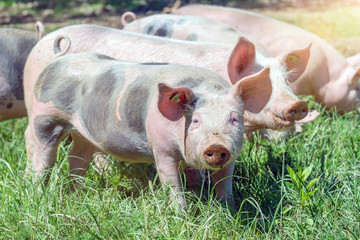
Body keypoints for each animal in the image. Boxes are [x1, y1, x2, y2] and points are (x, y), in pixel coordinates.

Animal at [25, 50, 272, 206]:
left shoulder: (231, 156)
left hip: (84, 135)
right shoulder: (161, 149)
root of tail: (56, 61)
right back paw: (38, 197)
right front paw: (181, 214)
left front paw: (228, 209)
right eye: (195, 120)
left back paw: (78, 195)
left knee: (77, 159)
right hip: (43, 119)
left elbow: (222, 184)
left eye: (234, 119)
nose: (217, 145)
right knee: (43, 161)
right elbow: (171, 183)